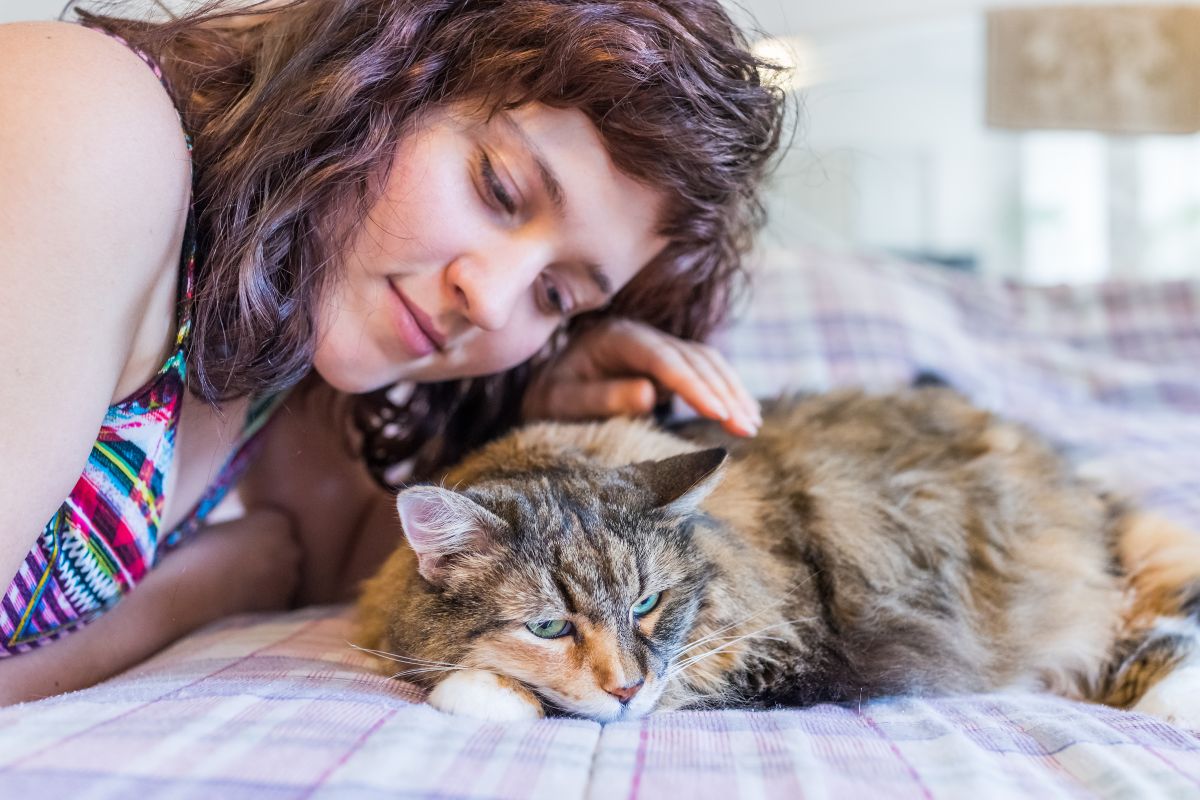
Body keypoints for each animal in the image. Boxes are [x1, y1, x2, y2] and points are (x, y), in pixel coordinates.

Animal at [352, 388, 1200, 724]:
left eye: (646, 605)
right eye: (550, 628)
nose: (626, 685)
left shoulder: (794, 650)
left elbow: (671, 687)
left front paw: (477, 693)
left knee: (1156, 617)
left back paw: (1170, 702)